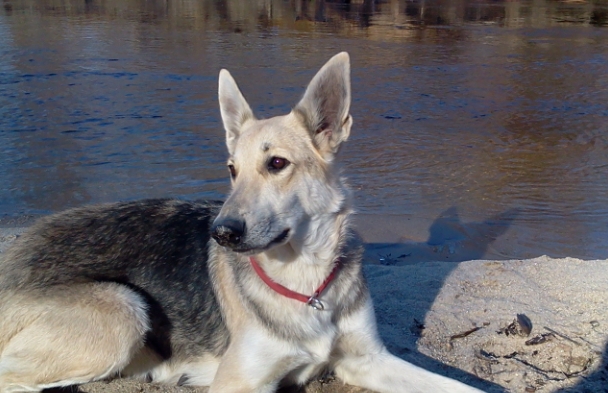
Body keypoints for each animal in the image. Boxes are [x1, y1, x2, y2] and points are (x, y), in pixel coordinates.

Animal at [0, 52, 484, 392]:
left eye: (277, 163)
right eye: (232, 169)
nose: (221, 233)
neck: (304, 281)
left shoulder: (368, 361)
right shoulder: (239, 382)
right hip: (124, 310)